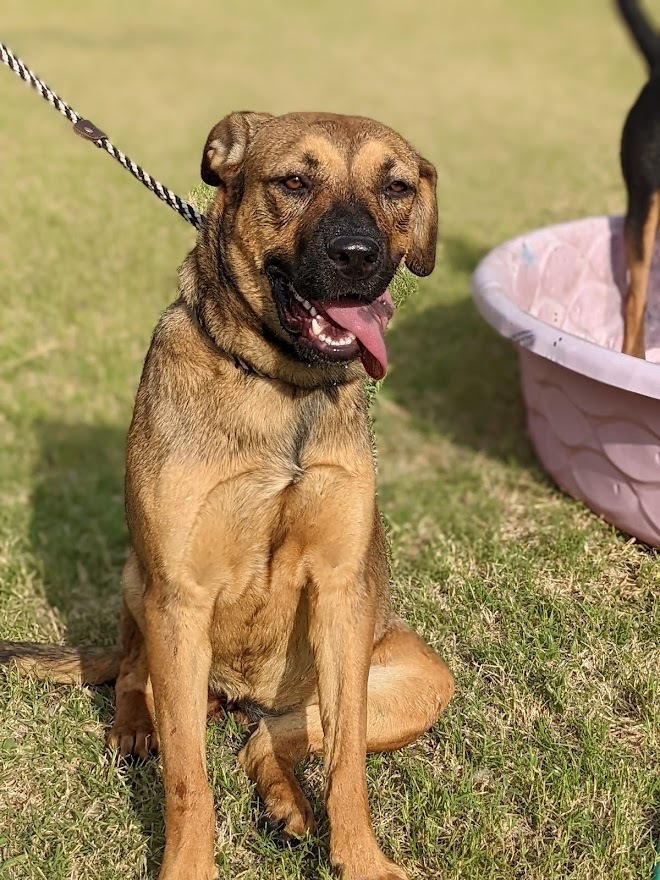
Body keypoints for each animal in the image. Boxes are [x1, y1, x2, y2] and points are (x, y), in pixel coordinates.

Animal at [0, 113, 454, 880]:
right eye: (293, 182)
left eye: (395, 187)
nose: (359, 257)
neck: (280, 387)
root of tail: (242, 696)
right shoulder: (178, 596)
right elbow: (189, 780)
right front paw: (187, 866)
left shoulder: (341, 592)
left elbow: (347, 767)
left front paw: (359, 857)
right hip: (140, 586)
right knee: (137, 678)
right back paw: (135, 731)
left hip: (414, 676)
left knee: (271, 740)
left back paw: (287, 803)